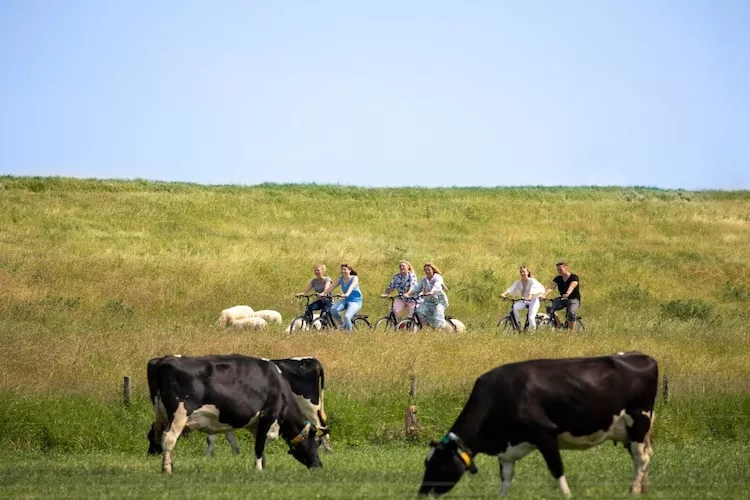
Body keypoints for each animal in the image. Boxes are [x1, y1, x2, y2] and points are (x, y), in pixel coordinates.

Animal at [146, 352, 324, 472]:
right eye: (315, 443)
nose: (319, 465)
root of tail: (164, 359)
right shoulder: (269, 414)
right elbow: (259, 445)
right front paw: (258, 470)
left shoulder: (257, 424)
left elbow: (260, 444)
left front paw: (262, 466)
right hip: (179, 414)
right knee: (169, 439)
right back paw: (167, 470)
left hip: (162, 416)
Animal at [420, 352, 660, 496]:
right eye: (426, 463)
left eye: (437, 464)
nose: (422, 493)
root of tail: (642, 356)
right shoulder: (506, 449)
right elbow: (505, 479)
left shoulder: (545, 434)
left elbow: (557, 470)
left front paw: (567, 495)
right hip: (631, 431)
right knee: (644, 456)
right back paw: (642, 489)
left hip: (639, 421)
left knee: (642, 458)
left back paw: (633, 490)